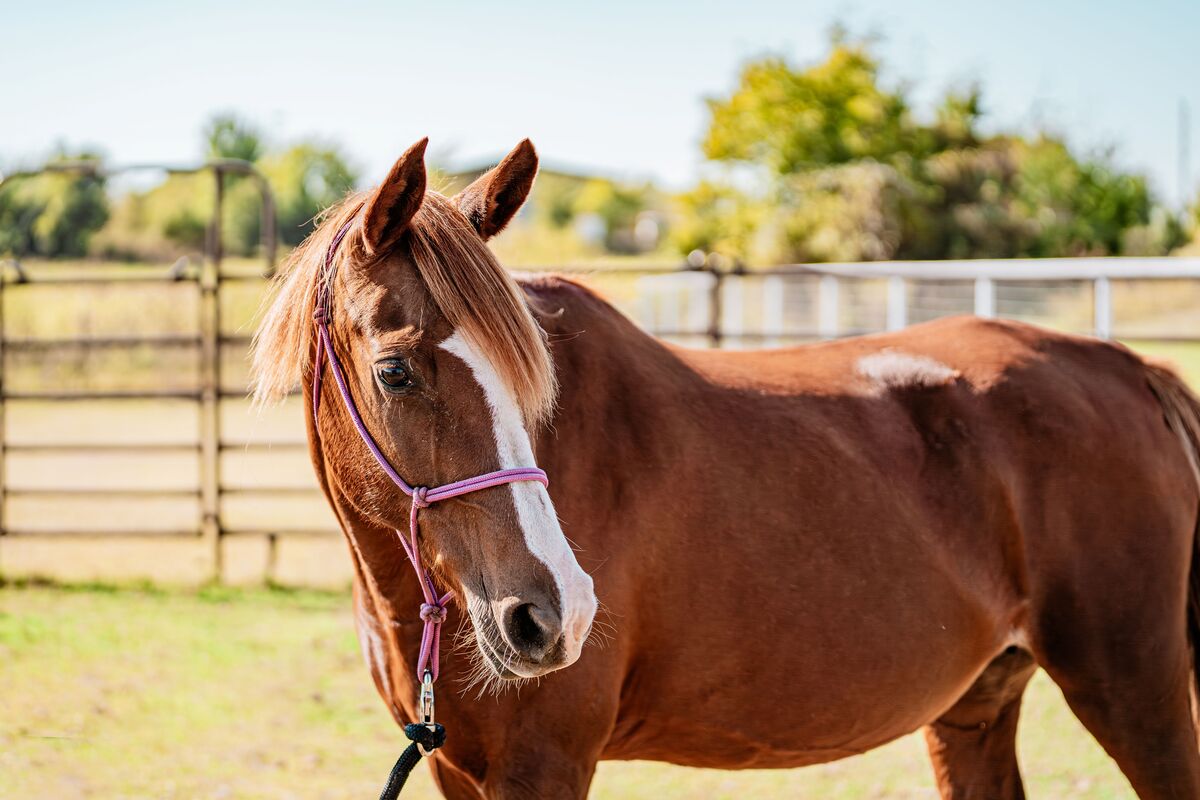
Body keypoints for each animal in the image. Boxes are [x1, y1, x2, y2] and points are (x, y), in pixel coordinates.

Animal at [252, 137, 1200, 799]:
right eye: (395, 370)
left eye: (533, 379)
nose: (554, 613)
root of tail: (1129, 370)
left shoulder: (544, 763)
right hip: (974, 709)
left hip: (1136, 692)